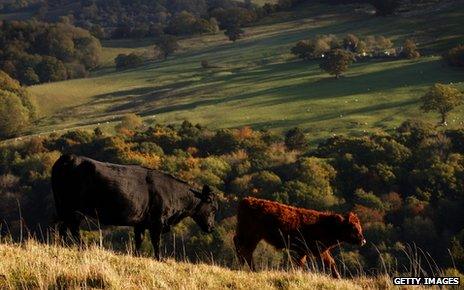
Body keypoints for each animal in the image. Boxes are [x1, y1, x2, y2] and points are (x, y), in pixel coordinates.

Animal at [51, 154, 218, 258]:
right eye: (213, 208)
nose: (211, 228)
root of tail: (68, 157)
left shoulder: (141, 222)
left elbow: (139, 240)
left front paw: (138, 256)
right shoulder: (157, 222)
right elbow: (156, 242)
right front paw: (159, 259)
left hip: (64, 207)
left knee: (63, 227)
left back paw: (64, 246)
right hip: (73, 208)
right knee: (72, 228)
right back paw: (81, 247)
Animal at [234, 197, 364, 278]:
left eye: (359, 226)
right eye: (353, 227)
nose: (363, 240)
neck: (325, 225)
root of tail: (247, 200)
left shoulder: (313, 251)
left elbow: (329, 263)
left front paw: (338, 277)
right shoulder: (310, 250)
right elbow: (303, 264)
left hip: (247, 235)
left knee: (242, 249)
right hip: (252, 236)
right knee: (245, 251)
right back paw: (253, 270)